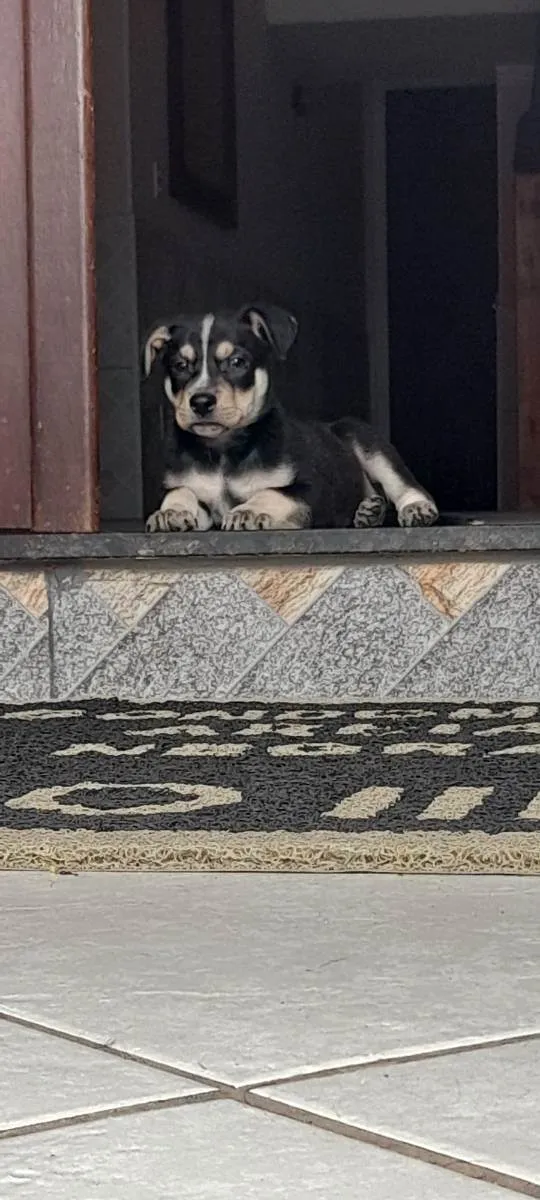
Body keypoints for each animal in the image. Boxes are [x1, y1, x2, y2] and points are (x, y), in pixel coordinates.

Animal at [141, 304, 436, 535]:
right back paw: (368, 511)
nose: (201, 402)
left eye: (237, 362)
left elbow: (273, 492)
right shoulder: (198, 495)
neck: (224, 449)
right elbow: (180, 491)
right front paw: (171, 512)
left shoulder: (311, 489)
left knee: (402, 482)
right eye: (180, 366)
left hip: (363, 438)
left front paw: (248, 511)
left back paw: (416, 508)